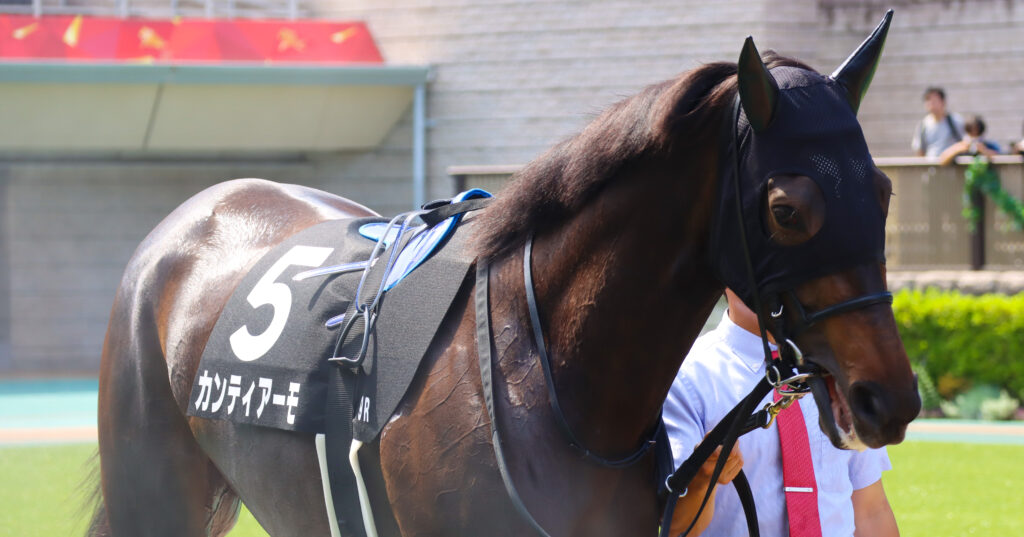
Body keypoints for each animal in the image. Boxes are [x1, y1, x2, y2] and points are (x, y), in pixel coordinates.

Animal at [89, 13, 920, 537]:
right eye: (786, 207)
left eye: (882, 190)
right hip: (152, 494)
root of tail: (191, 212)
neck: (546, 374)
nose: (889, 398)